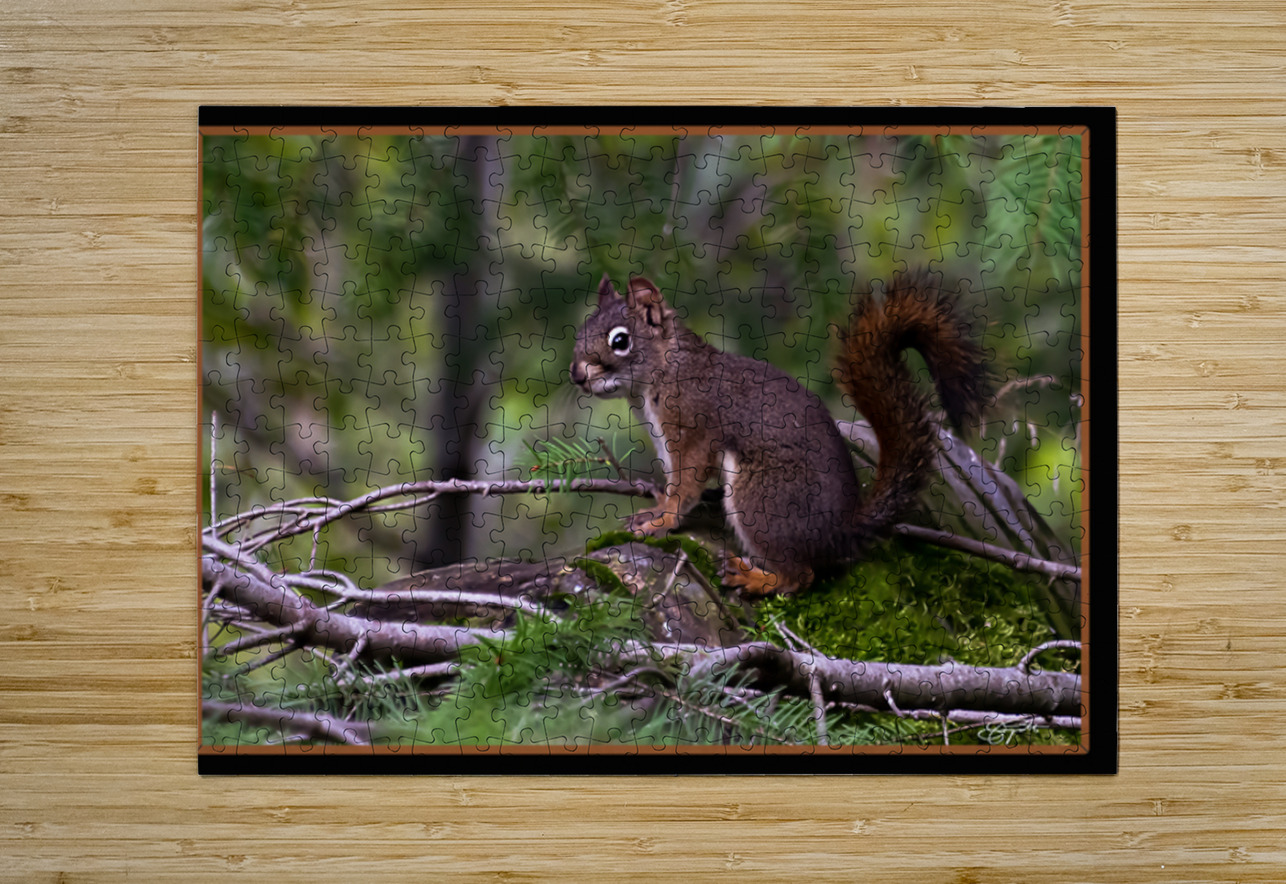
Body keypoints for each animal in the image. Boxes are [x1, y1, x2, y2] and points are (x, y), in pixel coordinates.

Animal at [569, 272, 988, 595]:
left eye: (620, 340)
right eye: (581, 330)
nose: (576, 375)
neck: (666, 372)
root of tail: (840, 531)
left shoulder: (694, 429)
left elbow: (686, 483)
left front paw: (663, 519)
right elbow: (673, 481)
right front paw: (657, 502)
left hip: (763, 500)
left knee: (800, 576)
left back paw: (756, 579)